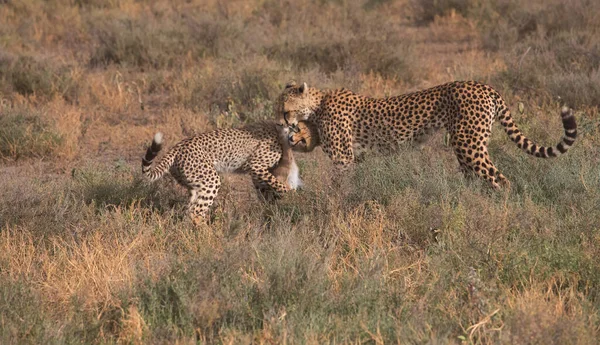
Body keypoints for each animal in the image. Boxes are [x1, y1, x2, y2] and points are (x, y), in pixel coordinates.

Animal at [141, 122, 304, 224]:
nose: (297, 132)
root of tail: (176, 147)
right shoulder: (256, 166)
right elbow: (278, 184)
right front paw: (293, 195)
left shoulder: (259, 173)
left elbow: (267, 188)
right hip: (211, 180)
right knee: (196, 213)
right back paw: (209, 235)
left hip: (195, 184)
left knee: (189, 211)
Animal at [276, 80, 576, 188]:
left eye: (285, 110)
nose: (280, 124)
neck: (318, 105)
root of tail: (484, 85)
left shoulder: (343, 160)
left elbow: (340, 188)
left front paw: (334, 207)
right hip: (467, 148)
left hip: (468, 144)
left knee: (499, 180)